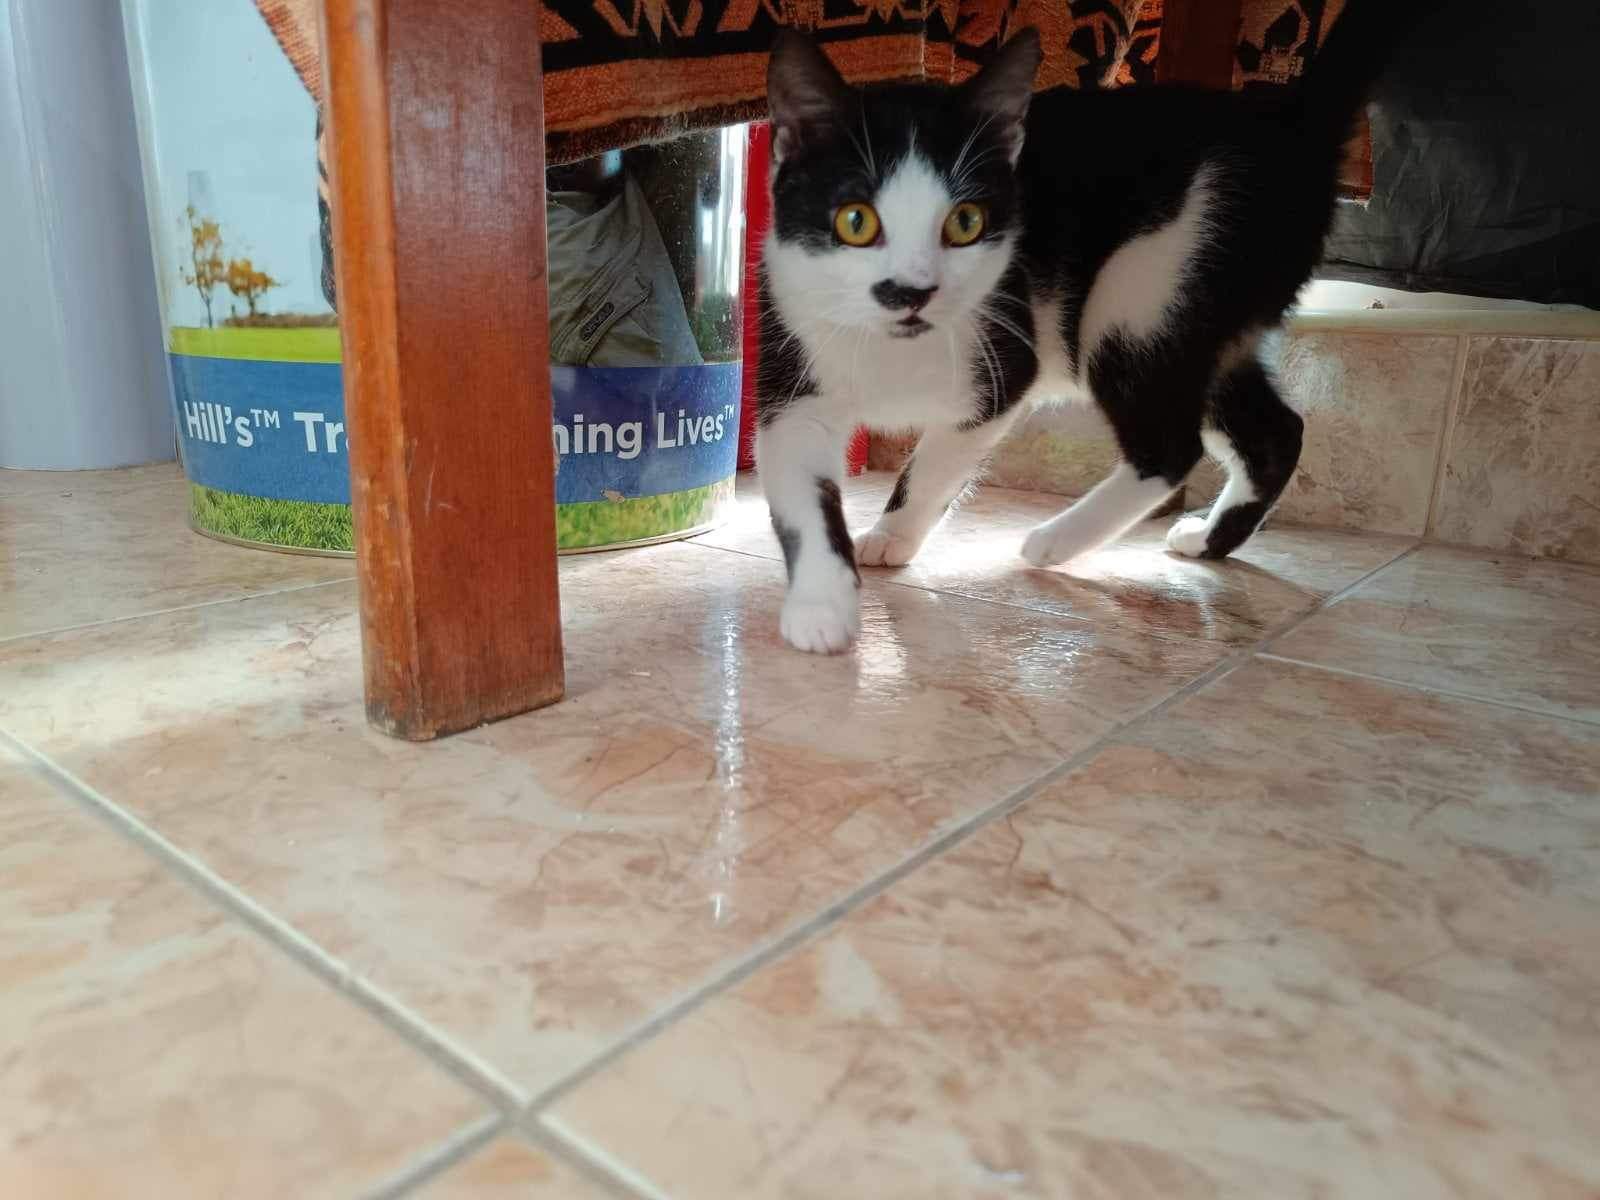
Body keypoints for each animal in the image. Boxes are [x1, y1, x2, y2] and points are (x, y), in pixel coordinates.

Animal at [756, 2, 1431, 653]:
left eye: (966, 222)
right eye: (856, 221)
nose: (912, 292)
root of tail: (1288, 126)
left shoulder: (1004, 363)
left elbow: (937, 461)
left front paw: (892, 535)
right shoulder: (795, 361)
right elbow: (803, 487)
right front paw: (821, 603)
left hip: (1144, 288)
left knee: (1170, 447)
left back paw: (1056, 540)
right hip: (1212, 314)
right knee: (1275, 431)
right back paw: (1208, 541)